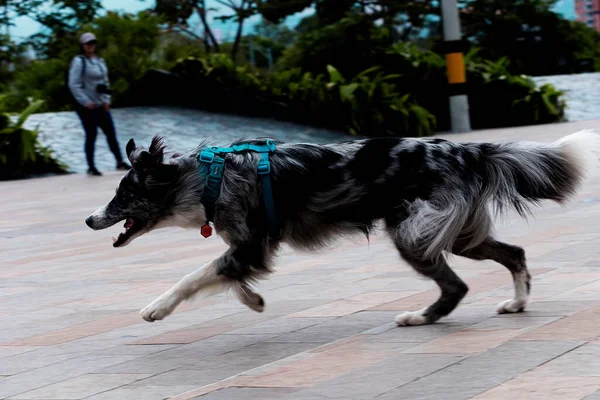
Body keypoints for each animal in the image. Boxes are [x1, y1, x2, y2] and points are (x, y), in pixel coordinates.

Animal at [86, 130, 596, 324]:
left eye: (123, 195)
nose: (90, 218)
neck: (207, 179)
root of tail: (467, 149)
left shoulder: (250, 243)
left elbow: (196, 276)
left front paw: (157, 308)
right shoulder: (252, 248)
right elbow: (229, 277)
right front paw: (253, 299)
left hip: (415, 231)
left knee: (457, 286)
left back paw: (419, 317)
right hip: (458, 233)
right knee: (515, 254)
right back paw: (517, 303)